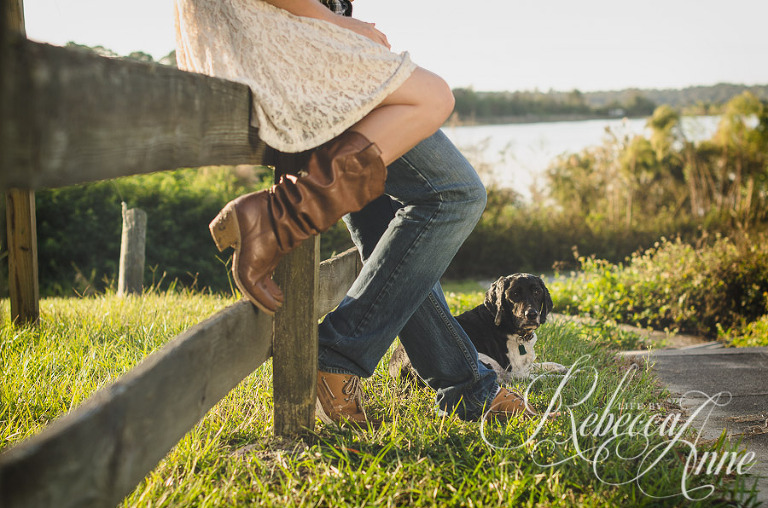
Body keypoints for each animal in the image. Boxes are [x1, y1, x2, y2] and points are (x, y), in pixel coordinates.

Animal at [392, 274, 568, 384]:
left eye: (537, 292)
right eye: (514, 294)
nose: (531, 314)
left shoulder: (523, 366)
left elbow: (540, 365)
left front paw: (560, 367)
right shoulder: (516, 373)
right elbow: (542, 376)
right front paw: (569, 376)